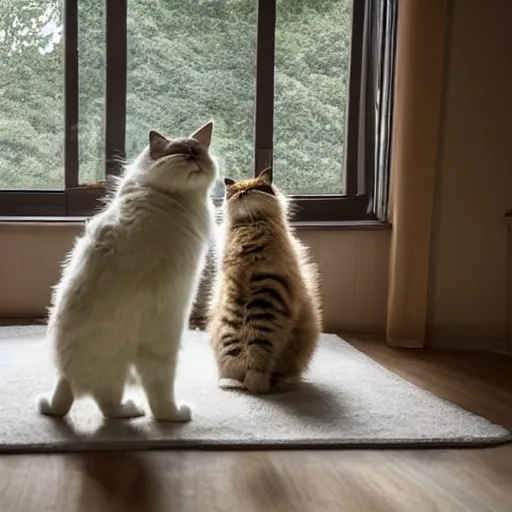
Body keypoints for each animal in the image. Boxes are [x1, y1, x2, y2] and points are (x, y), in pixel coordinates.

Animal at [37, 122, 217, 422]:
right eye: (181, 152)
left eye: (199, 151)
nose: (194, 156)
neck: (172, 198)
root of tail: (66, 376)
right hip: (160, 347)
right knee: (140, 401)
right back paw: (167, 414)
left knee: (106, 401)